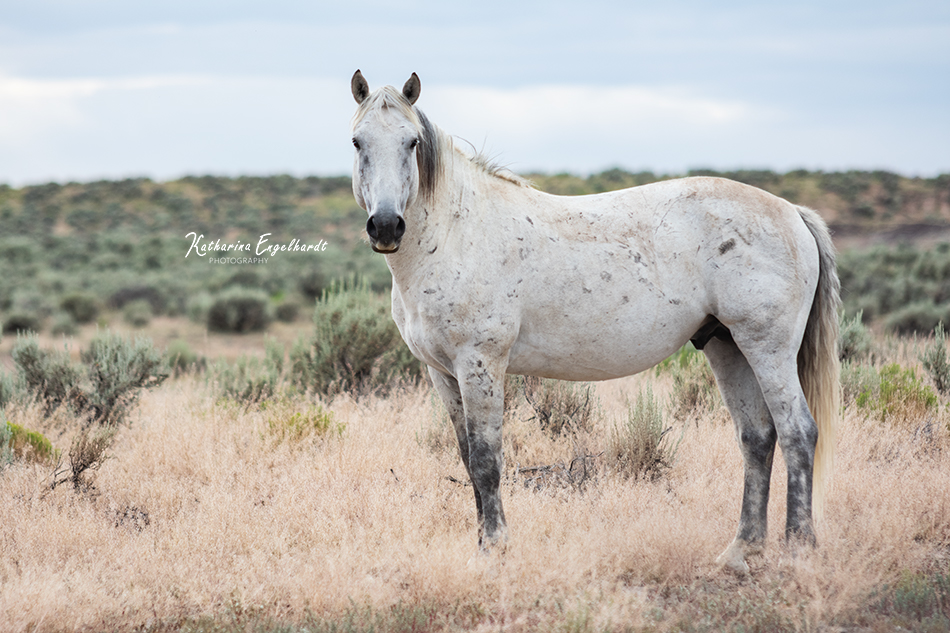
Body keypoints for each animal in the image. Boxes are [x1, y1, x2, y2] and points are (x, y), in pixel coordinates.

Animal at [350, 69, 840, 572]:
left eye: (411, 142)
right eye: (357, 142)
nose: (386, 226)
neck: (456, 233)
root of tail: (793, 212)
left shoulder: (480, 364)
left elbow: (487, 460)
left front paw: (495, 550)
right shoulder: (442, 373)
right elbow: (468, 459)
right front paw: (483, 544)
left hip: (767, 348)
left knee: (798, 433)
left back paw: (799, 551)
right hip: (728, 347)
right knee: (757, 438)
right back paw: (741, 551)